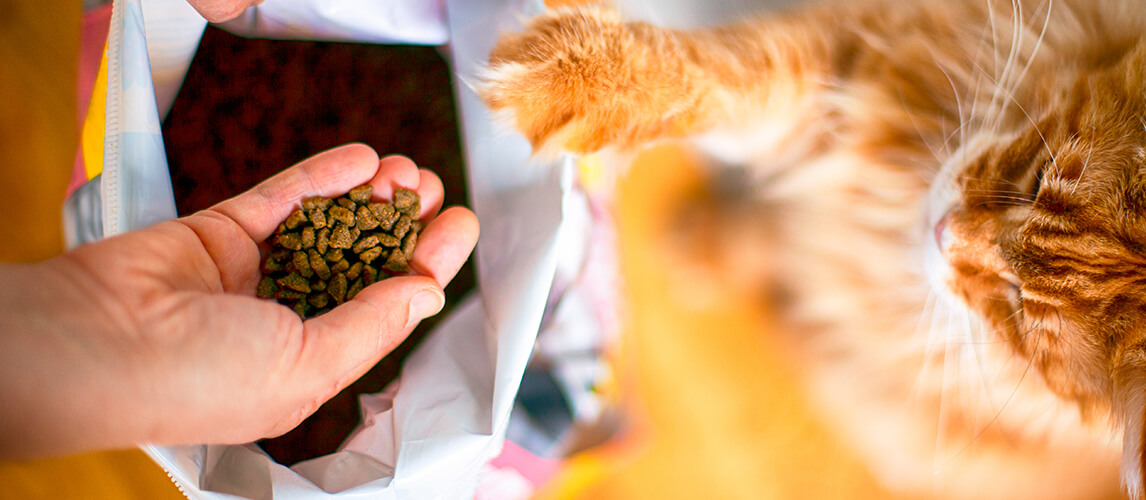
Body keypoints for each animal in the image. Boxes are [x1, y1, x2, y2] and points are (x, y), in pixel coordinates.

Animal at [479, 0, 1146, 499]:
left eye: (1018, 309)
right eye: (1034, 181)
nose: (943, 232)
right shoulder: (854, 65)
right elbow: (715, 75)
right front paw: (576, 75)